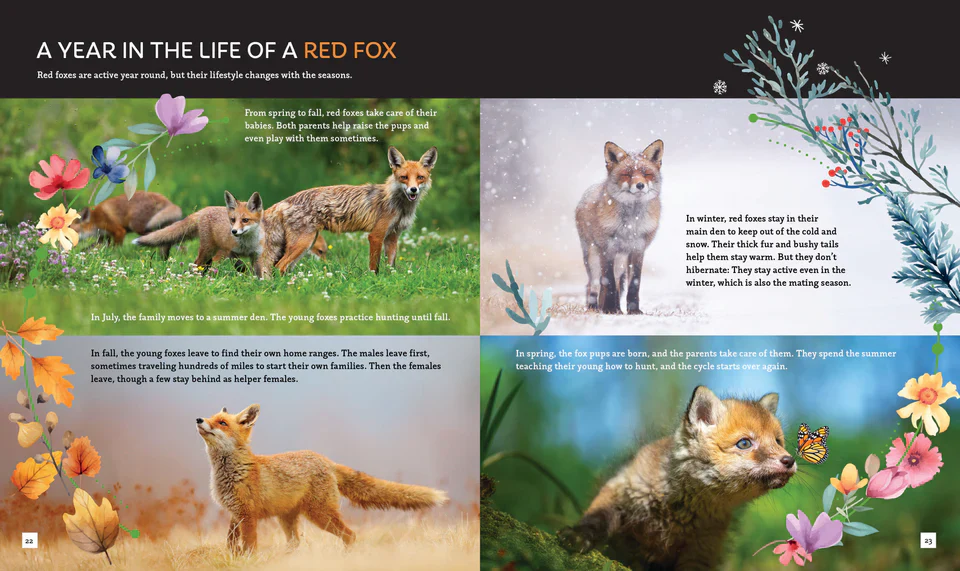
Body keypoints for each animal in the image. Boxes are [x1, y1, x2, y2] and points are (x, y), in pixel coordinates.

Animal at [132, 191, 326, 272]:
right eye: (232, 220)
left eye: (245, 220)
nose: (234, 231)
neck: (247, 244)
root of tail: (203, 210)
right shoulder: (228, 251)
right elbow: (238, 263)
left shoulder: (256, 255)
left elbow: (259, 271)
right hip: (208, 249)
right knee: (197, 263)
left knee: (205, 265)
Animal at [196, 404, 448, 554]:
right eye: (211, 417)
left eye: (222, 423)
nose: (199, 419)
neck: (232, 472)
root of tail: (326, 460)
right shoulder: (234, 513)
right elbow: (230, 542)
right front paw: (233, 557)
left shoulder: (248, 515)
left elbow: (249, 545)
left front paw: (248, 560)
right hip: (288, 518)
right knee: (296, 542)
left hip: (320, 514)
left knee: (350, 535)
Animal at [256, 146, 437, 276]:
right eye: (404, 177)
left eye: (420, 177)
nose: (413, 190)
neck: (399, 205)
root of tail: (284, 201)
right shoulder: (376, 236)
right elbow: (374, 267)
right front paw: (373, 282)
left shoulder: (393, 236)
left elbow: (390, 267)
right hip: (303, 243)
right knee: (279, 266)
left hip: (306, 243)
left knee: (282, 267)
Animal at [559, 386, 796, 570]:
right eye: (745, 443)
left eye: (778, 441)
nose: (789, 460)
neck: (678, 508)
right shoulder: (620, 489)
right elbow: (596, 518)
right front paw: (577, 536)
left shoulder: (702, 548)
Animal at [575, 140, 664, 315]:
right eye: (627, 174)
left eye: (646, 174)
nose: (640, 185)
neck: (631, 224)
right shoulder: (607, 249)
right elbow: (607, 281)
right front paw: (609, 309)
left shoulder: (638, 249)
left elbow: (633, 284)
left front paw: (633, 310)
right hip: (593, 257)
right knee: (593, 284)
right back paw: (596, 308)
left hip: (621, 261)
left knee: (616, 282)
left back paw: (617, 308)